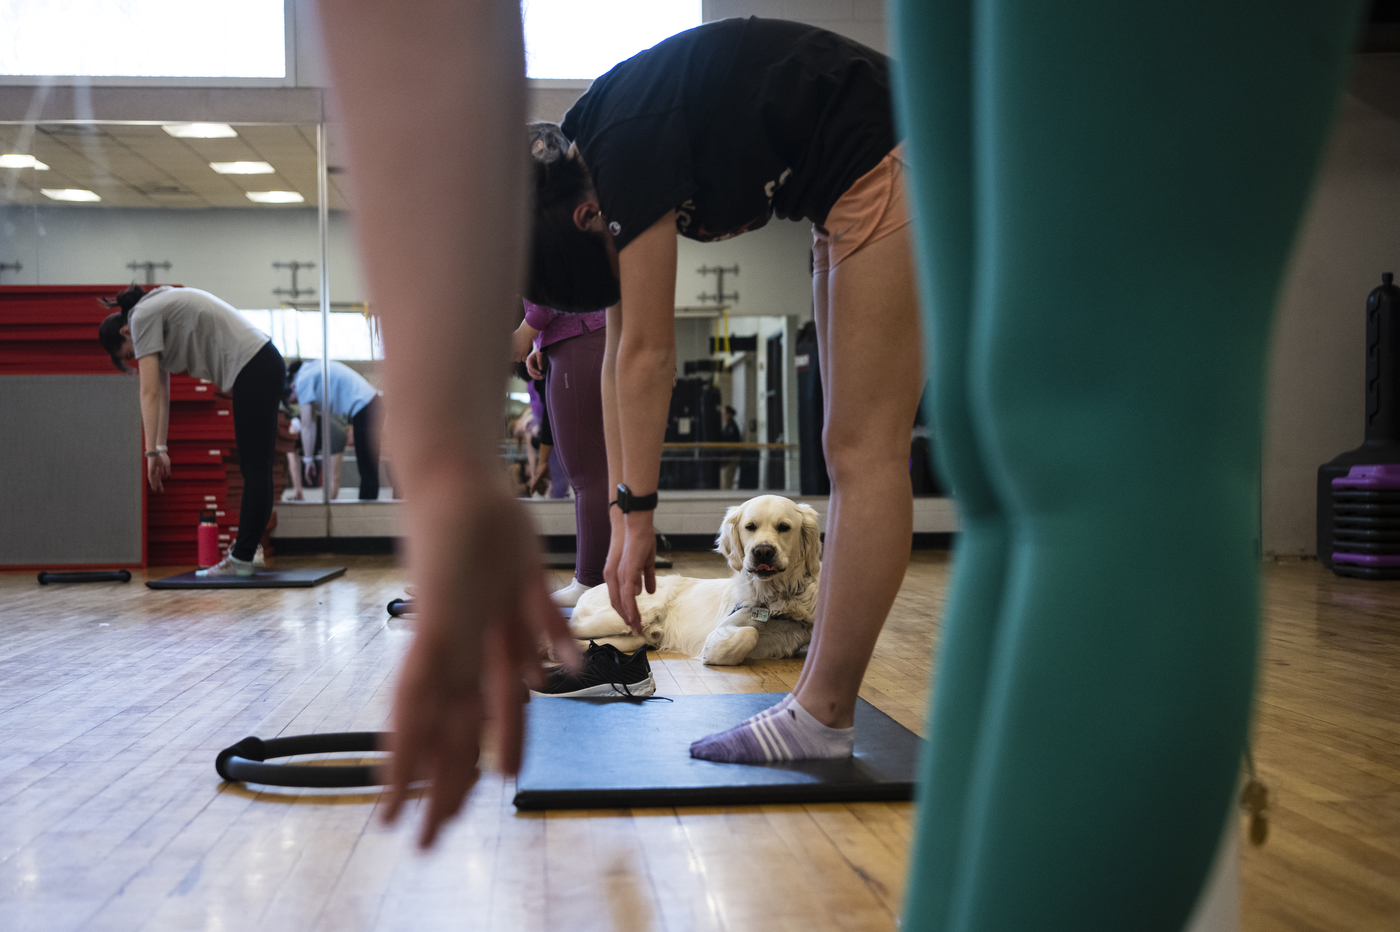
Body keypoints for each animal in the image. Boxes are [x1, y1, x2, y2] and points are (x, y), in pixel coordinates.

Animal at [565, 489, 817, 663]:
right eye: (750, 526)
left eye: (784, 527)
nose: (763, 551)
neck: (774, 598)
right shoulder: (723, 629)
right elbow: (748, 634)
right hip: (629, 615)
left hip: (634, 637)